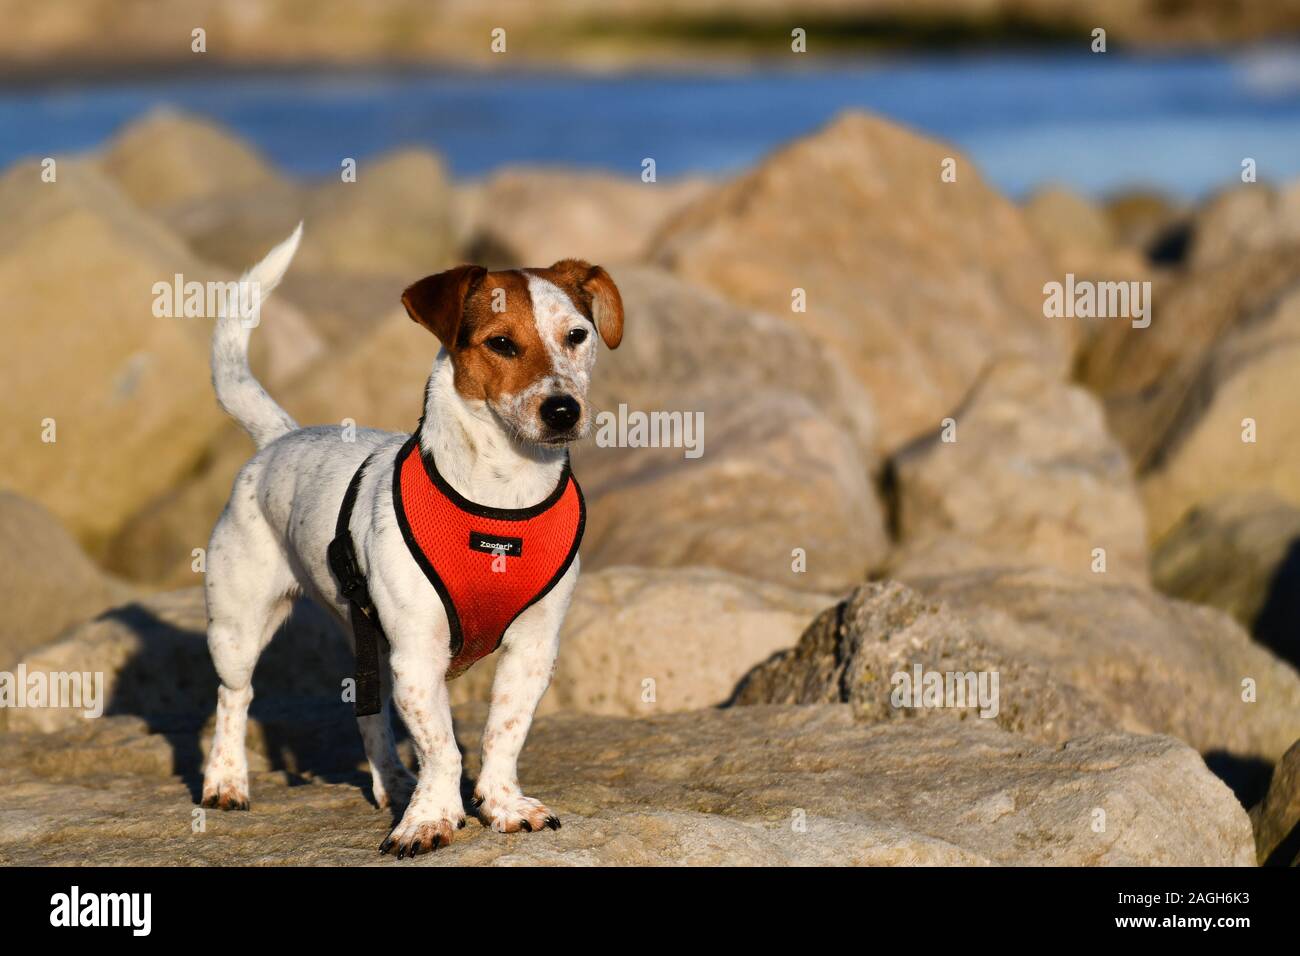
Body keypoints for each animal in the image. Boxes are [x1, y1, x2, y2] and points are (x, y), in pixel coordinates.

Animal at [201, 226, 624, 858]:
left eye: (577, 336)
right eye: (501, 343)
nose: (562, 410)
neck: (502, 499)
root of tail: (279, 437)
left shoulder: (533, 647)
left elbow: (502, 733)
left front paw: (501, 804)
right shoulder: (419, 652)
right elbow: (442, 747)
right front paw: (430, 819)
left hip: (368, 641)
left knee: (369, 716)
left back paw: (394, 782)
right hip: (238, 625)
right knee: (234, 696)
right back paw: (226, 781)